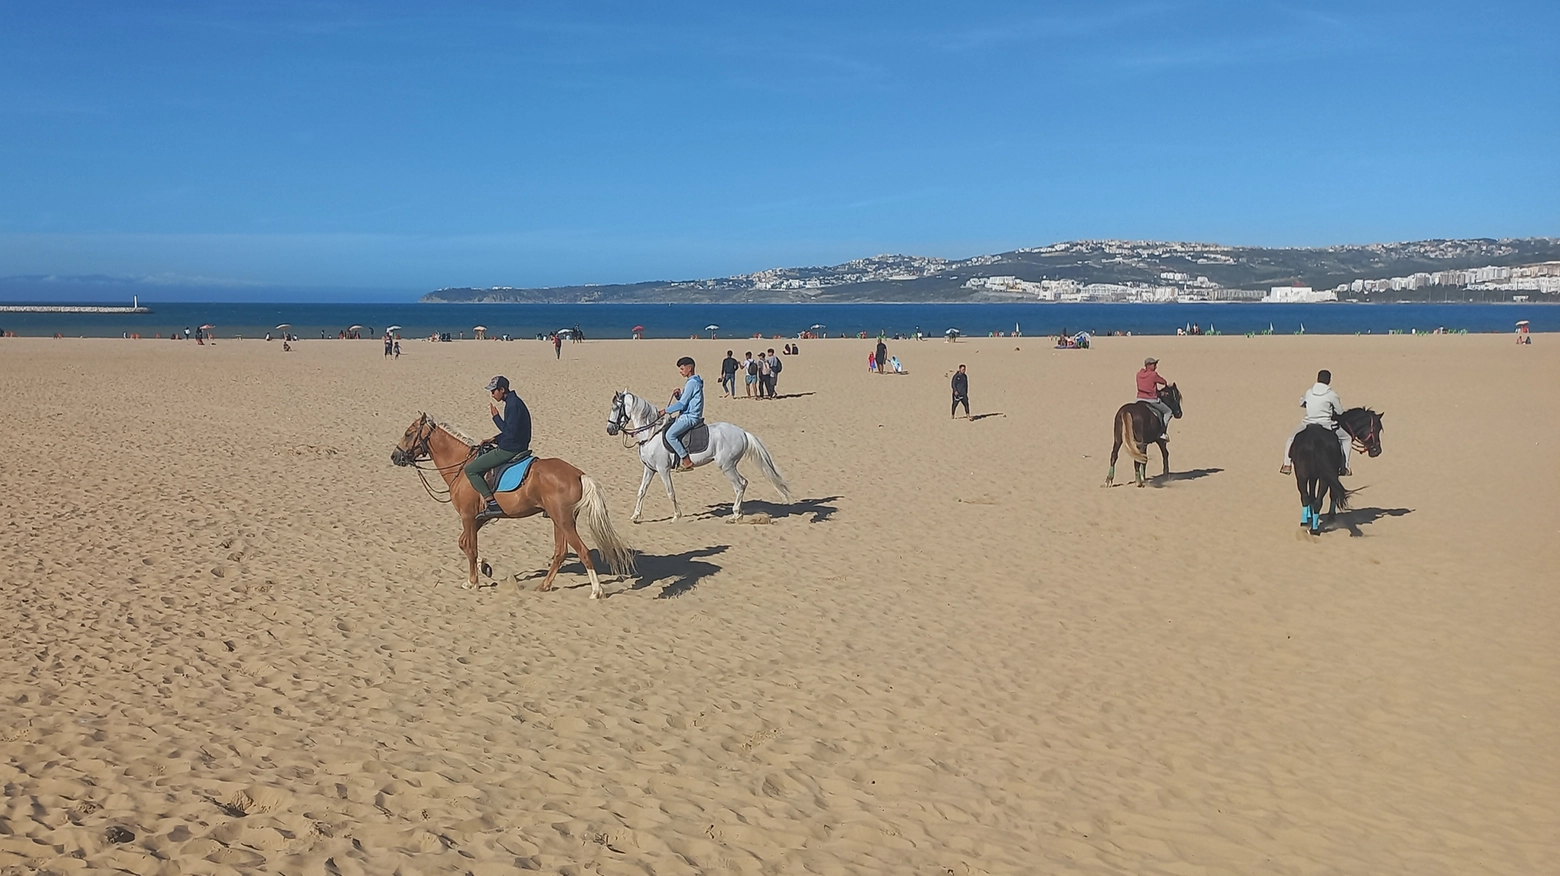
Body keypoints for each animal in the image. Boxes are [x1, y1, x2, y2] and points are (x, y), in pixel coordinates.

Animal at [390, 411, 633, 595]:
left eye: (408, 434)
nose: (395, 456)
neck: (462, 466)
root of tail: (578, 474)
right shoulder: (478, 518)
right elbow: (464, 543)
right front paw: (485, 568)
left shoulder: (468, 516)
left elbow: (470, 548)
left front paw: (473, 582)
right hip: (559, 521)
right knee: (561, 552)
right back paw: (545, 585)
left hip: (563, 521)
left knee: (581, 550)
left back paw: (596, 591)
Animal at [599, 386, 786, 517]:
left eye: (615, 408)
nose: (609, 429)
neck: (651, 433)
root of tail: (743, 433)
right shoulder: (650, 469)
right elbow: (641, 491)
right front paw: (636, 516)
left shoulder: (663, 469)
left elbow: (670, 492)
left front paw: (676, 515)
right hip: (729, 465)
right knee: (743, 483)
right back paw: (737, 512)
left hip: (727, 466)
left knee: (740, 485)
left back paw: (735, 515)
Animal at [1291, 402, 1391, 533]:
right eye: (1377, 429)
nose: (1377, 451)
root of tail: (1314, 440)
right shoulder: (1334, 474)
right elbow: (1332, 493)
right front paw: (1331, 516)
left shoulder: (1313, 476)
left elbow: (1311, 494)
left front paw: (1310, 516)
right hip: (1324, 477)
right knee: (1319, 500)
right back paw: (1315, 529)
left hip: (1301, 474)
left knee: (1305, 497)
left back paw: (1305, 523)